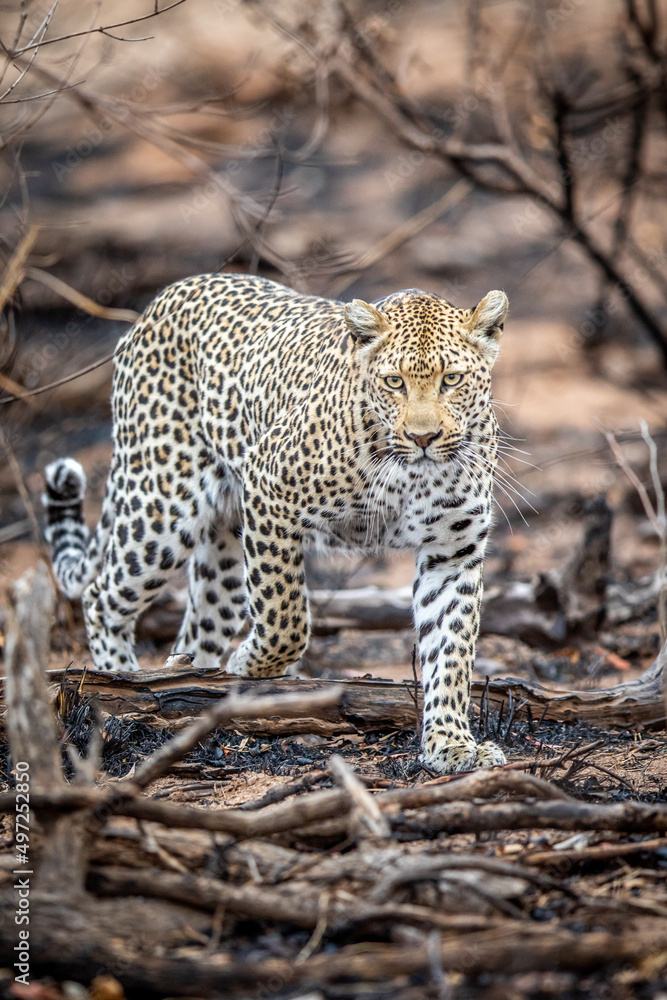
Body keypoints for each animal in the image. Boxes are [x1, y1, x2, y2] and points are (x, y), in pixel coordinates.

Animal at [43, 272, 509, 774]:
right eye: (394, 383)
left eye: (452, 379)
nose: (423, 437)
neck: (413, 474)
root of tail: (161, 299)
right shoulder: (268, 487)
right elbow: (284, 615)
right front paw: (248, 664)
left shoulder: (452, 552)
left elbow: (451, 651)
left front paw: (451, 743)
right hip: (161, 503)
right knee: (100, 596)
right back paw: (126, 685)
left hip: (223, 544)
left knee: (198, 627)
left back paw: (187, 687)